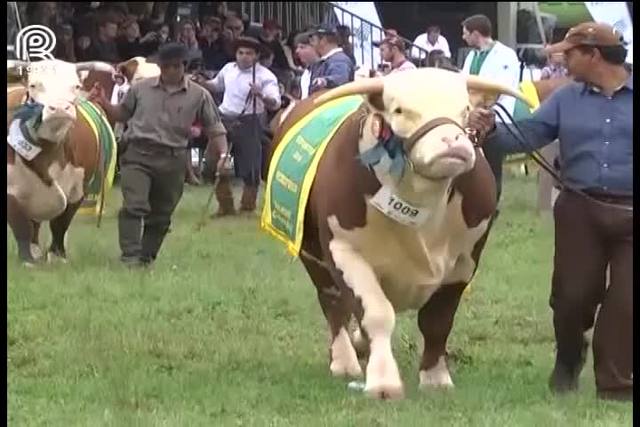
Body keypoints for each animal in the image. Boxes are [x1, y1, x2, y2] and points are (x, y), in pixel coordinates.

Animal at [7, 58, 116, 266]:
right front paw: (27, 259)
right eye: (33, 85)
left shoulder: (79, 189)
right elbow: (20, 226)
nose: (58, 108)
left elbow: (61, 223)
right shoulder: (11, 191)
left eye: (76, 86)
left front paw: (57, 256)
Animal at [264, 69, 528, 402]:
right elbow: (376, 314)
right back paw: (344, 361)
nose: (453, 141)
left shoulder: (465, 259)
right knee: (333, 302)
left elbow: (438, 321)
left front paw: (435, 378)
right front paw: (383, 381)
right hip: (311, 254)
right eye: (400, 110)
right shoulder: (344, 251)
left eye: (465, 109)